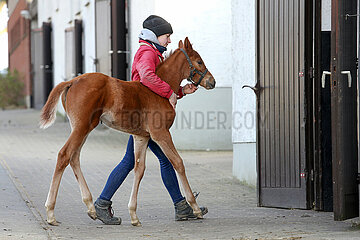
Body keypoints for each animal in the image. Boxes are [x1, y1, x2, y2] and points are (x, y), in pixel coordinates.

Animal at [39, 37, 215, 225]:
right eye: (199, 61)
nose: (212, 81)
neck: (157, 92)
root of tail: (72, 81)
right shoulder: (161, 134)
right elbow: (177, 163)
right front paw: (194, 207)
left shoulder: (141, 137)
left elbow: (139, 168)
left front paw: (133, 214)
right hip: (81, 127)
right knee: (64, 155)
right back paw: (51, 213)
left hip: (83, 128)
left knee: (74, 157)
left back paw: (93, 208)